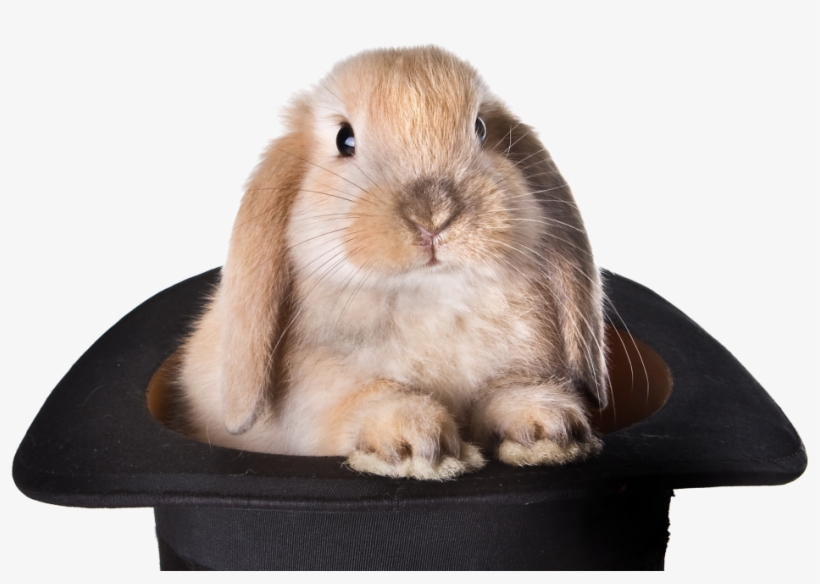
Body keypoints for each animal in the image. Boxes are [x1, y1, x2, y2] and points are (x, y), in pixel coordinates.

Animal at [174, 46, 608, 480]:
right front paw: (417, 445)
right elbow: (367, 399)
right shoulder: (316, 398)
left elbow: (506, 389)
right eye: (344, 139)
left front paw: (549, 430)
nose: (433, 214)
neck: (431, 295)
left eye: (481, 128)